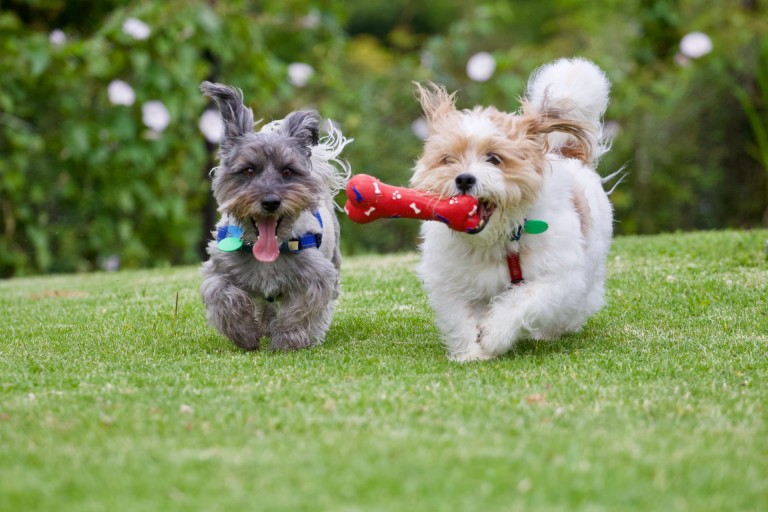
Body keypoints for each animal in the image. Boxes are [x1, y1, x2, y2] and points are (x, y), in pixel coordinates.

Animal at [200, 82, 352, 350]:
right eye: (249, 170)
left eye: (288, 171)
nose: (271, 202)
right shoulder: (218, 269)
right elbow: (222, 296)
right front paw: (244, 333)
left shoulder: (318, 276)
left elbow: (303, 308)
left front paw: (287, 339)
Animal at [412, 58, 616, 360]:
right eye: (448, 159)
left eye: (494, 158)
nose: (464, 179)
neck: (499, 241)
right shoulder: (450, 279)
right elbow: (459, 317)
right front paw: (471, 353)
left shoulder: (559, 277)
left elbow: (522, 301)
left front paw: (494, 336)